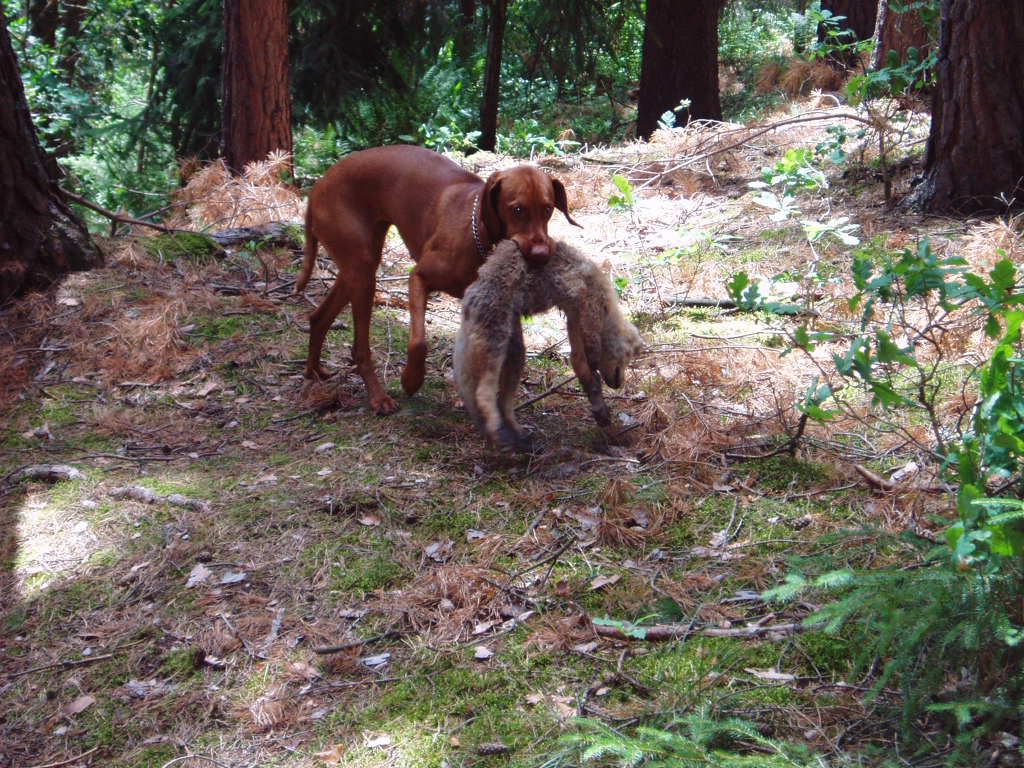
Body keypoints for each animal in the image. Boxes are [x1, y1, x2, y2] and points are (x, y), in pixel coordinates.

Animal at [299, 141, 581, 411]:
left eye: (548, 209)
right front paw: (411, 380)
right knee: (360, 347)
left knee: (319, 317)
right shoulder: (418, 278)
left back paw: (313, 370)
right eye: (518, 209)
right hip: (362, 272)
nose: (542, 254)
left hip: (356, 268)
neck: (479, 235)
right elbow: (419, 342)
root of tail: (318, 186)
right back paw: (378, 397)